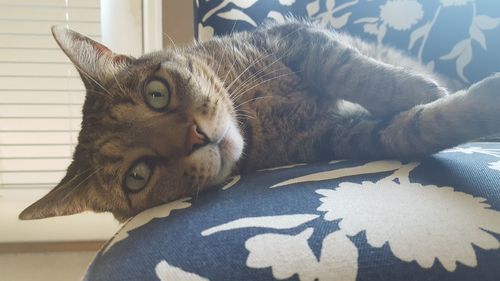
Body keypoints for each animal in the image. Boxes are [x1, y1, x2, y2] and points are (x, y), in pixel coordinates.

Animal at [18, 19, 500, 221]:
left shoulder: (295, 37)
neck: (255, 115)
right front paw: (464, 100)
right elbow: (419, 127)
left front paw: (412, 86)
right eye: (137, 176)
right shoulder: (343, 138)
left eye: (156, 93)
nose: (196, 137)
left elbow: (348, 68)